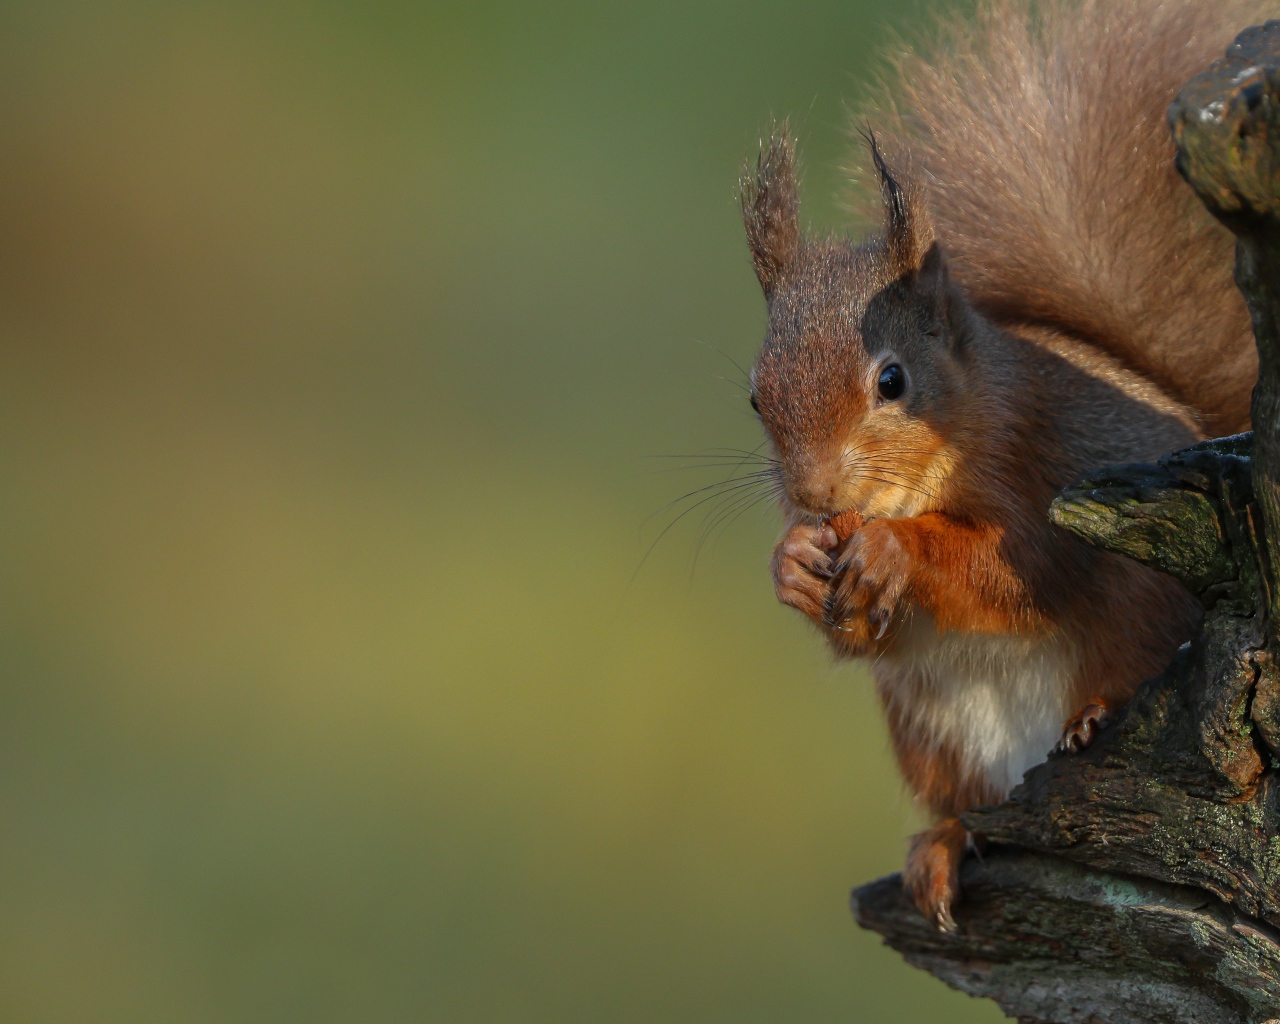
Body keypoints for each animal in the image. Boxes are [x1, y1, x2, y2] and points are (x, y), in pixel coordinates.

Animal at [742, 0, 1269, 926]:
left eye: (891, 380)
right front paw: (794, 563)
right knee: (970, 812)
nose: (811, 494)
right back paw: (945, 846)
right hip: (934, 738)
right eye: (754, 398)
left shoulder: (1043, 470)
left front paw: (897, 551)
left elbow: (1018, 569)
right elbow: (867, 635)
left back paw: (1093, 714)